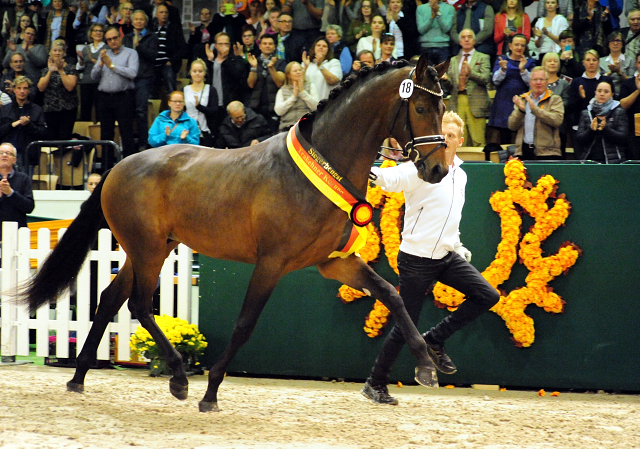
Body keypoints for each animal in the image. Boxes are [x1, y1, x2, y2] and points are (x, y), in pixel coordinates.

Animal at [20, 54, 450, 412]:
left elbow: (393, 295)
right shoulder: (271, 264)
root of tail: (119, 165)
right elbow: (244, 325)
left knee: (110, 299)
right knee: (139, 305)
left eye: (444, 108)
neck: (322, 167)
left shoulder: (335, 263)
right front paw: (210, 392)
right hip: (148, 250)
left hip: (150, 249)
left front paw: (427, 366)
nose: (438, 170)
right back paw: (178, 378)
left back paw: (78, 378)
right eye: (421, 107)